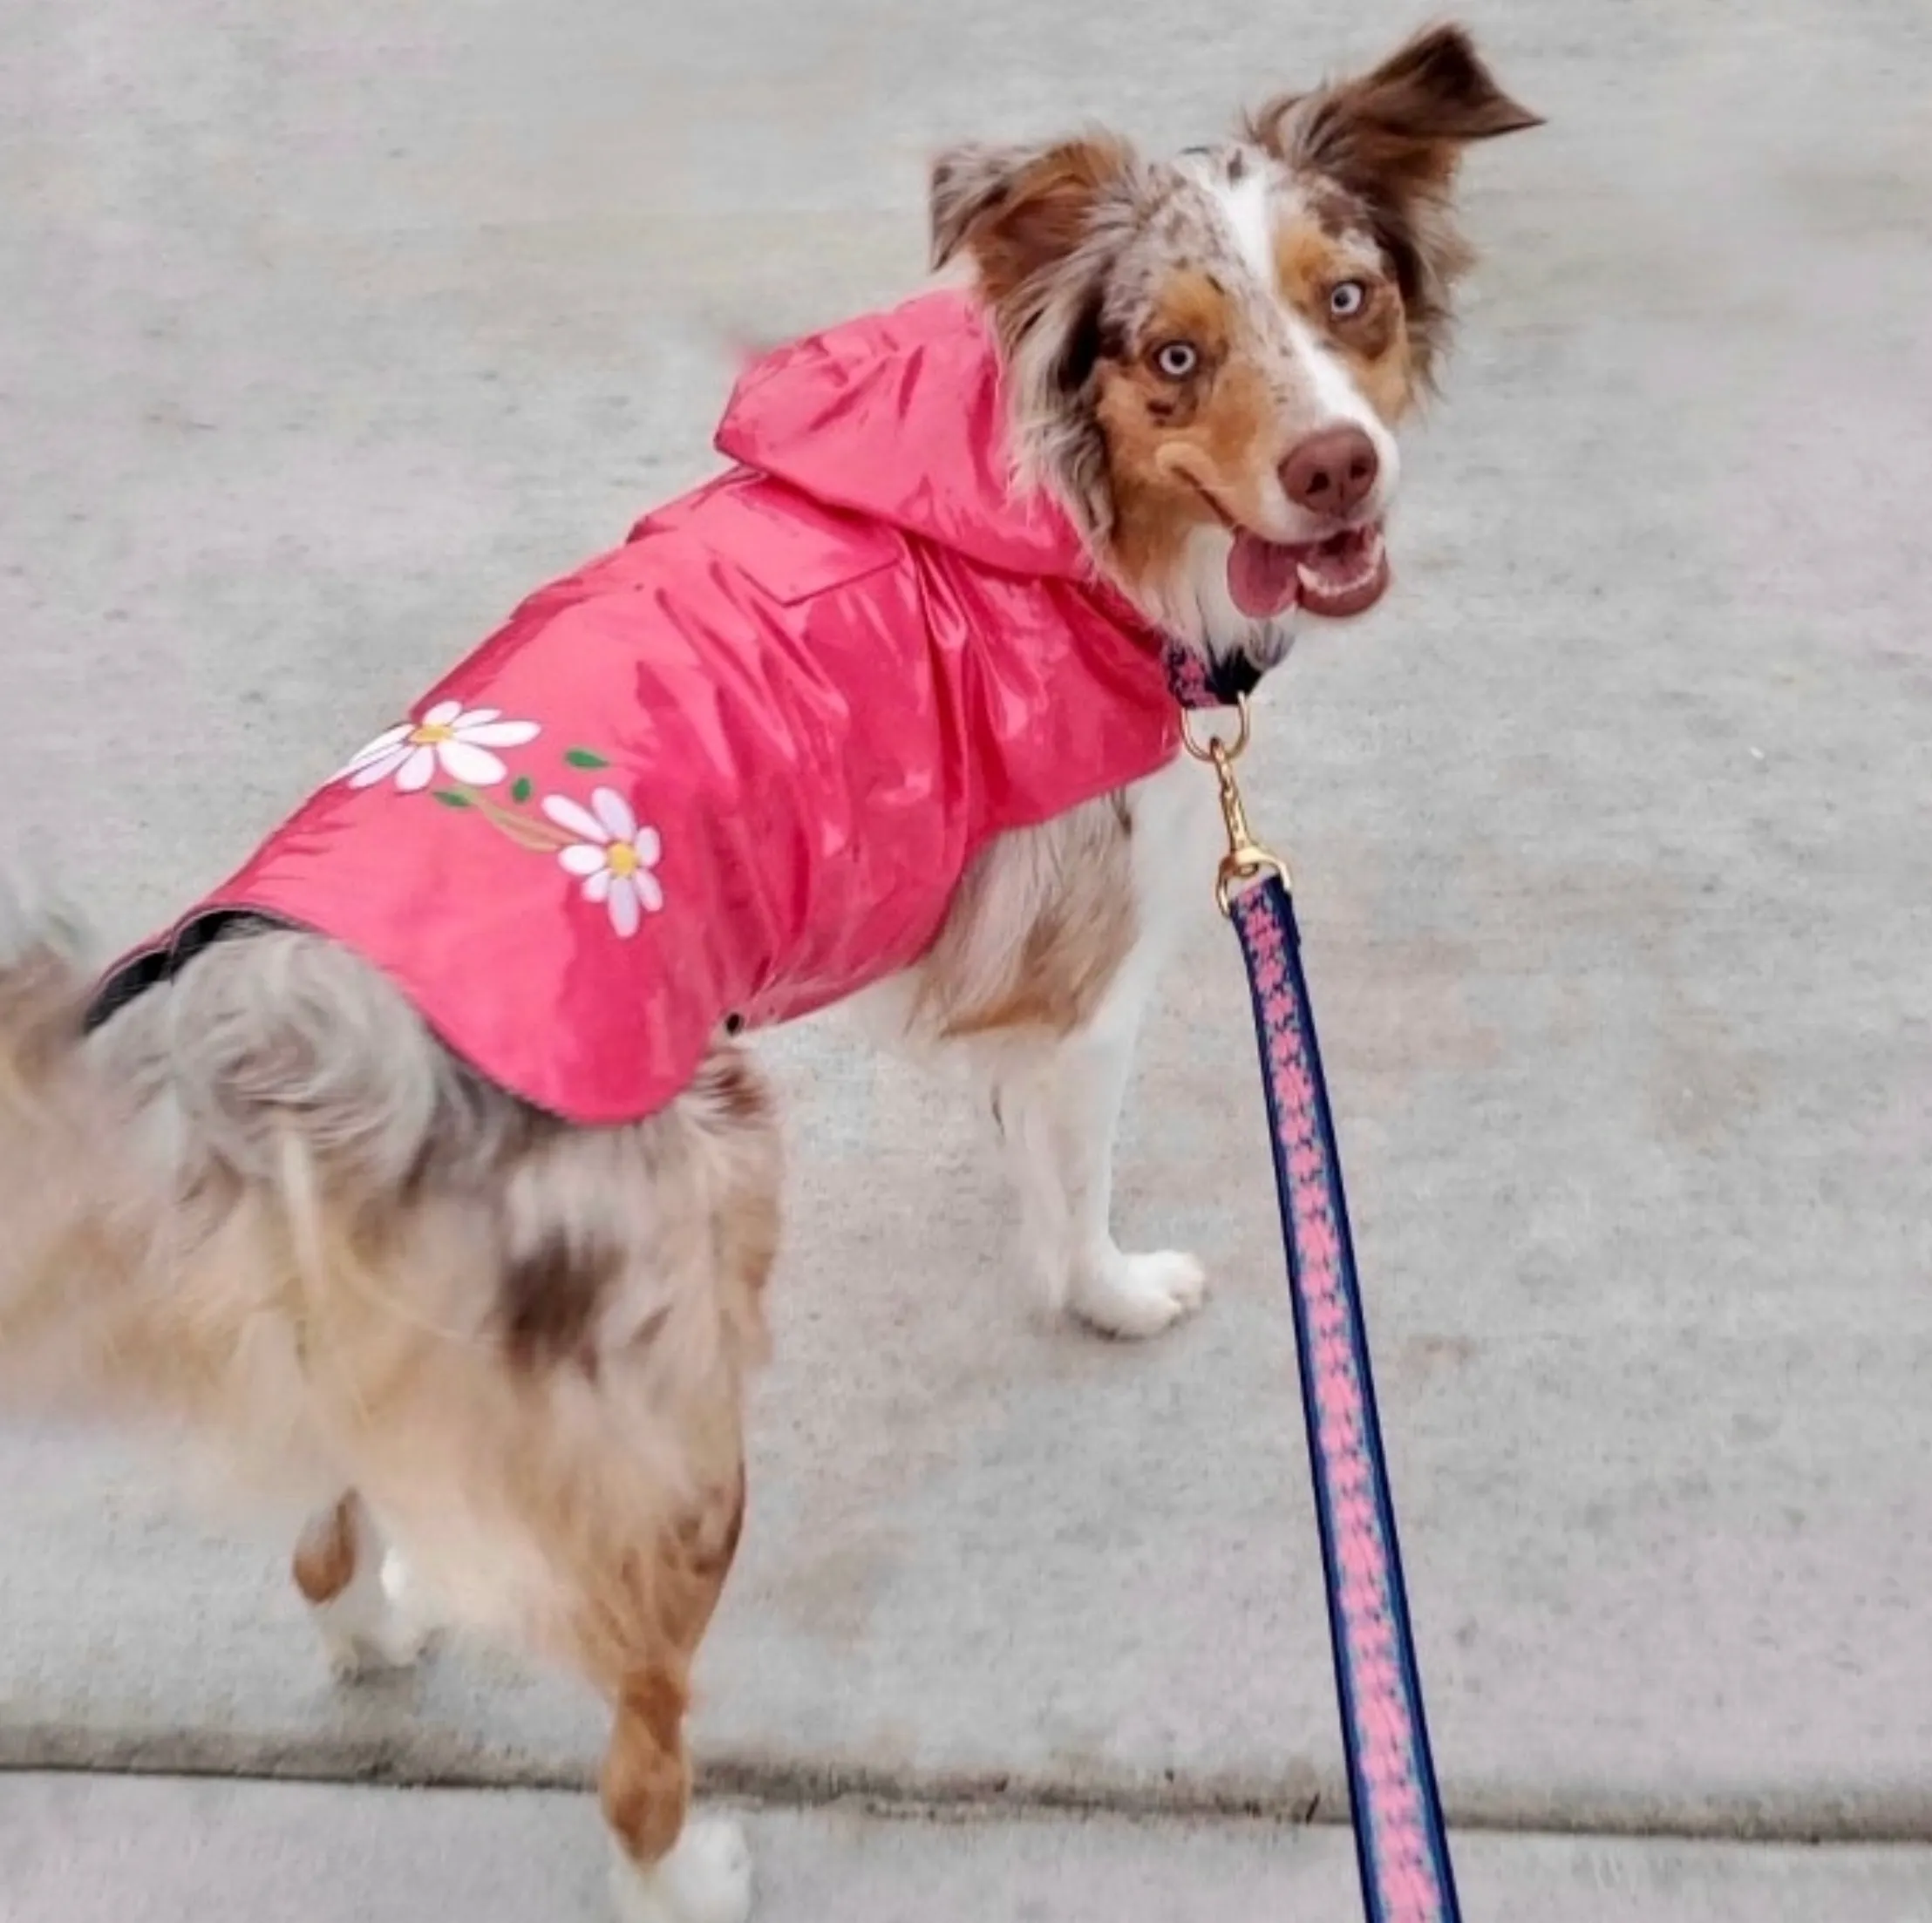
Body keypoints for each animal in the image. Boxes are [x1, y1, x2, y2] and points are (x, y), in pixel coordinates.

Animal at [0, 30, 1537, 1923]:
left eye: (1347, 300)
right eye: (1174, 356)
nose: (1339, 470)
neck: (1051, 514)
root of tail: (285, 1029)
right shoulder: (1088, 982)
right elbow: (1072, 1186)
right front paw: (1110, 1294)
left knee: (318, 1537)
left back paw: (379, 1631)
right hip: (683, 1351)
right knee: (634, 1729)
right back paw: (690, 1871)